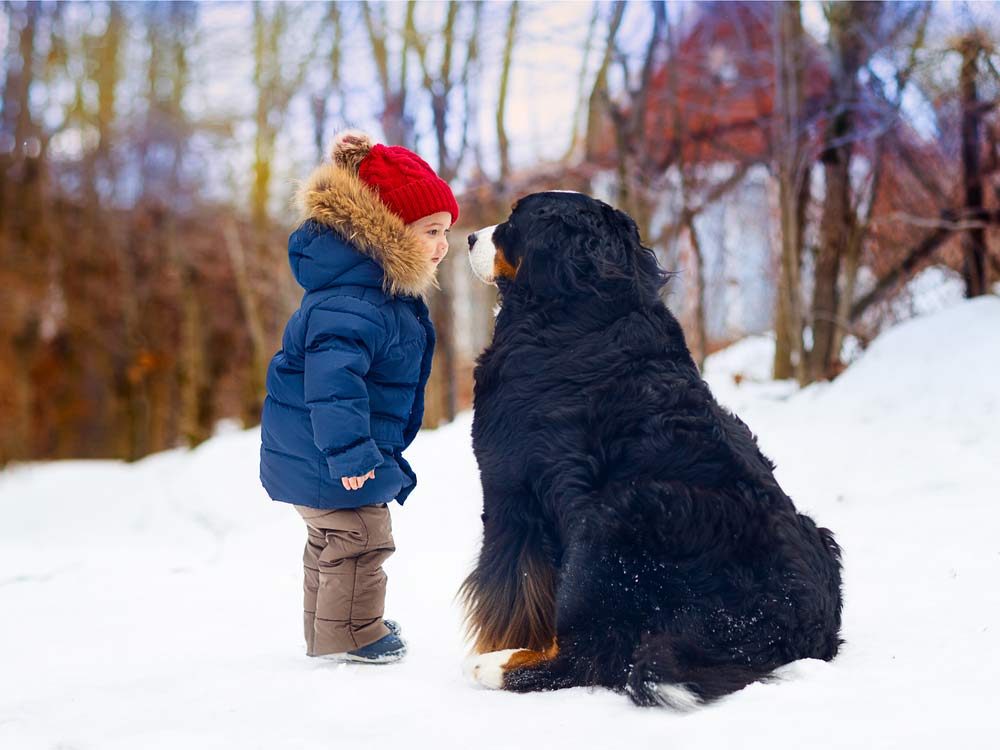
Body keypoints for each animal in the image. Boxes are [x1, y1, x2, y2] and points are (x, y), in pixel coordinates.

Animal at [460, 194, 844, 712]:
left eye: (514, 222)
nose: (469, 237)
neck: (585, 307)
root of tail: (785, 623)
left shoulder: (508, 486)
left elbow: (509, 587)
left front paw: (499, 643)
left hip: (612, 523)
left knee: (590, 656)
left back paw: (494, 667)